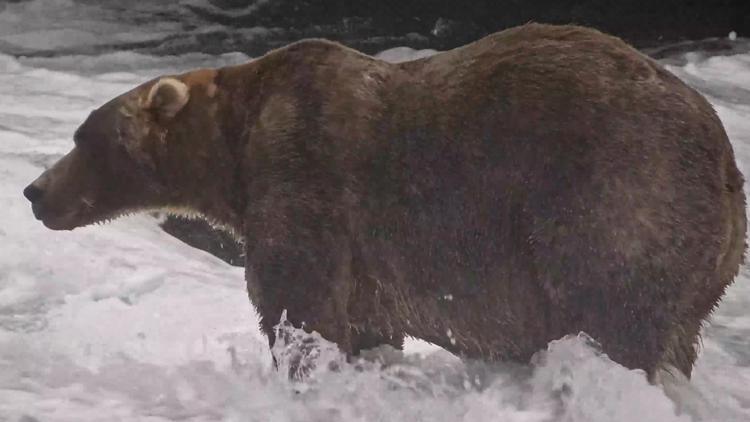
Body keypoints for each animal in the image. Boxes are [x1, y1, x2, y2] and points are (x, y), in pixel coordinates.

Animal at [24, 23, 746, 379]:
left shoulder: (305, 177)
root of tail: (723, 154)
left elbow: (298, 305)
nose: (34, 191)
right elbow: (366, 323)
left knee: (613, 311)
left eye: (84, 137)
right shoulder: (369, 260)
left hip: (612, 195)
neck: (233, 150)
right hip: (707, 260)